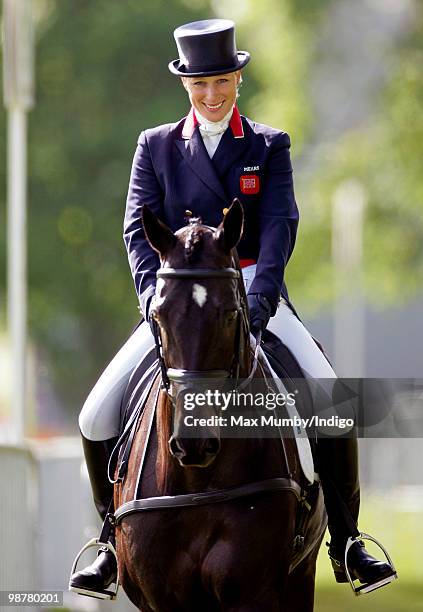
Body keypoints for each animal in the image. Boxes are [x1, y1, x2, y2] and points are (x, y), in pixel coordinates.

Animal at [113, 202, 328, 612]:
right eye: (158, 314)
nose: (193, 443)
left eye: (230, 313)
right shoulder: (161, 599)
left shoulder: (254, 593)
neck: (197, 481)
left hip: (301, 575)